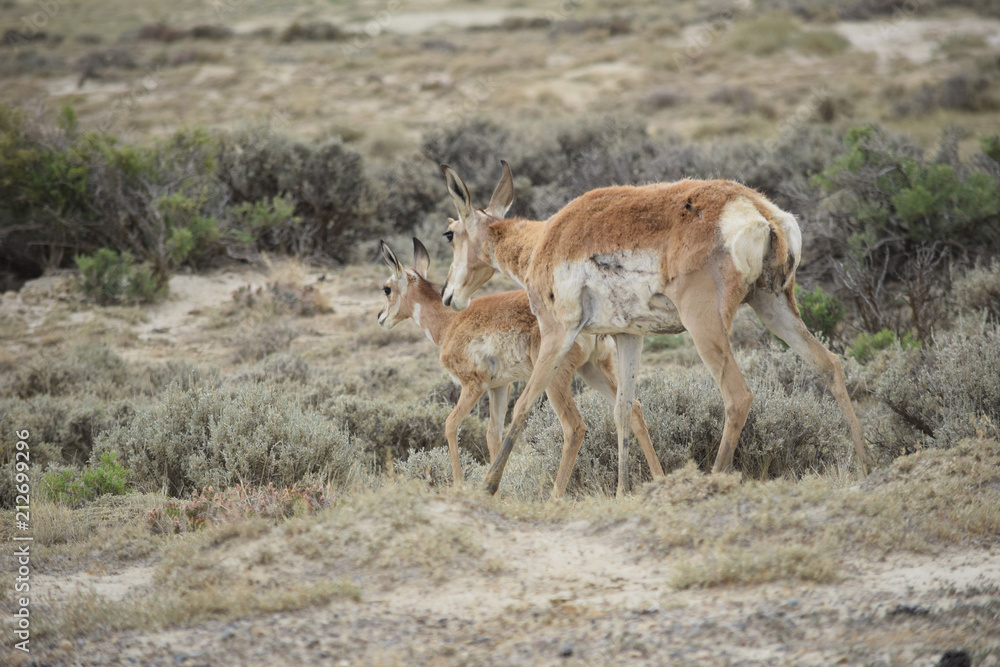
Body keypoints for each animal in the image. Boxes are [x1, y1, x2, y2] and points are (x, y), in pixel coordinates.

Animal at [376, 237, 665, 496]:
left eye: (386, 288)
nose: (380, 317)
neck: (450, 323)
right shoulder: (499, 387)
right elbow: (493, 434)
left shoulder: (473, 384)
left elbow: (450, 424)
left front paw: (460, 485)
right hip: (593, 370)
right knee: (631, 408)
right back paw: (657, 480)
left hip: (555, 380)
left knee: (574, 426)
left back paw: (555, 496)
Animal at [439, 161, 874, 496]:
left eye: (449, 233)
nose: (447, 295)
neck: (545, 239)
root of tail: (757, 209)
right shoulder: (627, 338)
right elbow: (624, 409)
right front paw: (622, 491)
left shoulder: (556, 334)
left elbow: (525, 405)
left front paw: (488, 486)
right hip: (774, 307)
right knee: (829, 365)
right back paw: (864, 466)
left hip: (706, 328)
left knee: (738, 395)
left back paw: (713, 479)